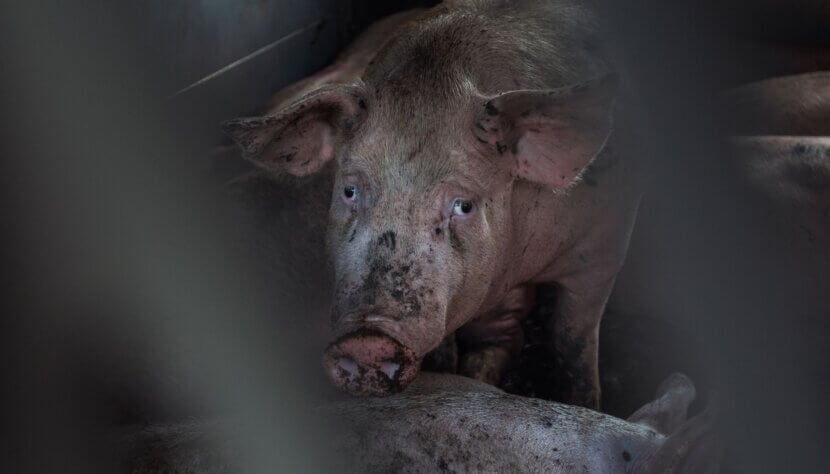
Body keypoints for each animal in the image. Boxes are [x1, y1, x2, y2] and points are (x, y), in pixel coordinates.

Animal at [224, 0, 643, 407]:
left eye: (464, 205)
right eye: (349, 191)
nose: (367, 340)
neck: (514, 265)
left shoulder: (603, 247)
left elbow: (572, 343)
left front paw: (586, 403)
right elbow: (448, 350)